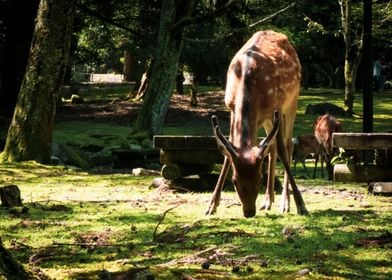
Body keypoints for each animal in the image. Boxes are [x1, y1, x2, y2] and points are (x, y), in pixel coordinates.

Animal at [207, 30, 308, 219]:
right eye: (234, 181)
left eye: (260, 178)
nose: (249, 212)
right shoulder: (231, 108)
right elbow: (227, 153)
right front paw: (212, 205)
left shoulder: (276, 106)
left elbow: (283, 152)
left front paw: (301, 205)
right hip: (269, 119)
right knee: (272, 147)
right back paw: (268, 201)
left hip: (292, 101)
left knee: (288, 145)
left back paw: (285, 203)